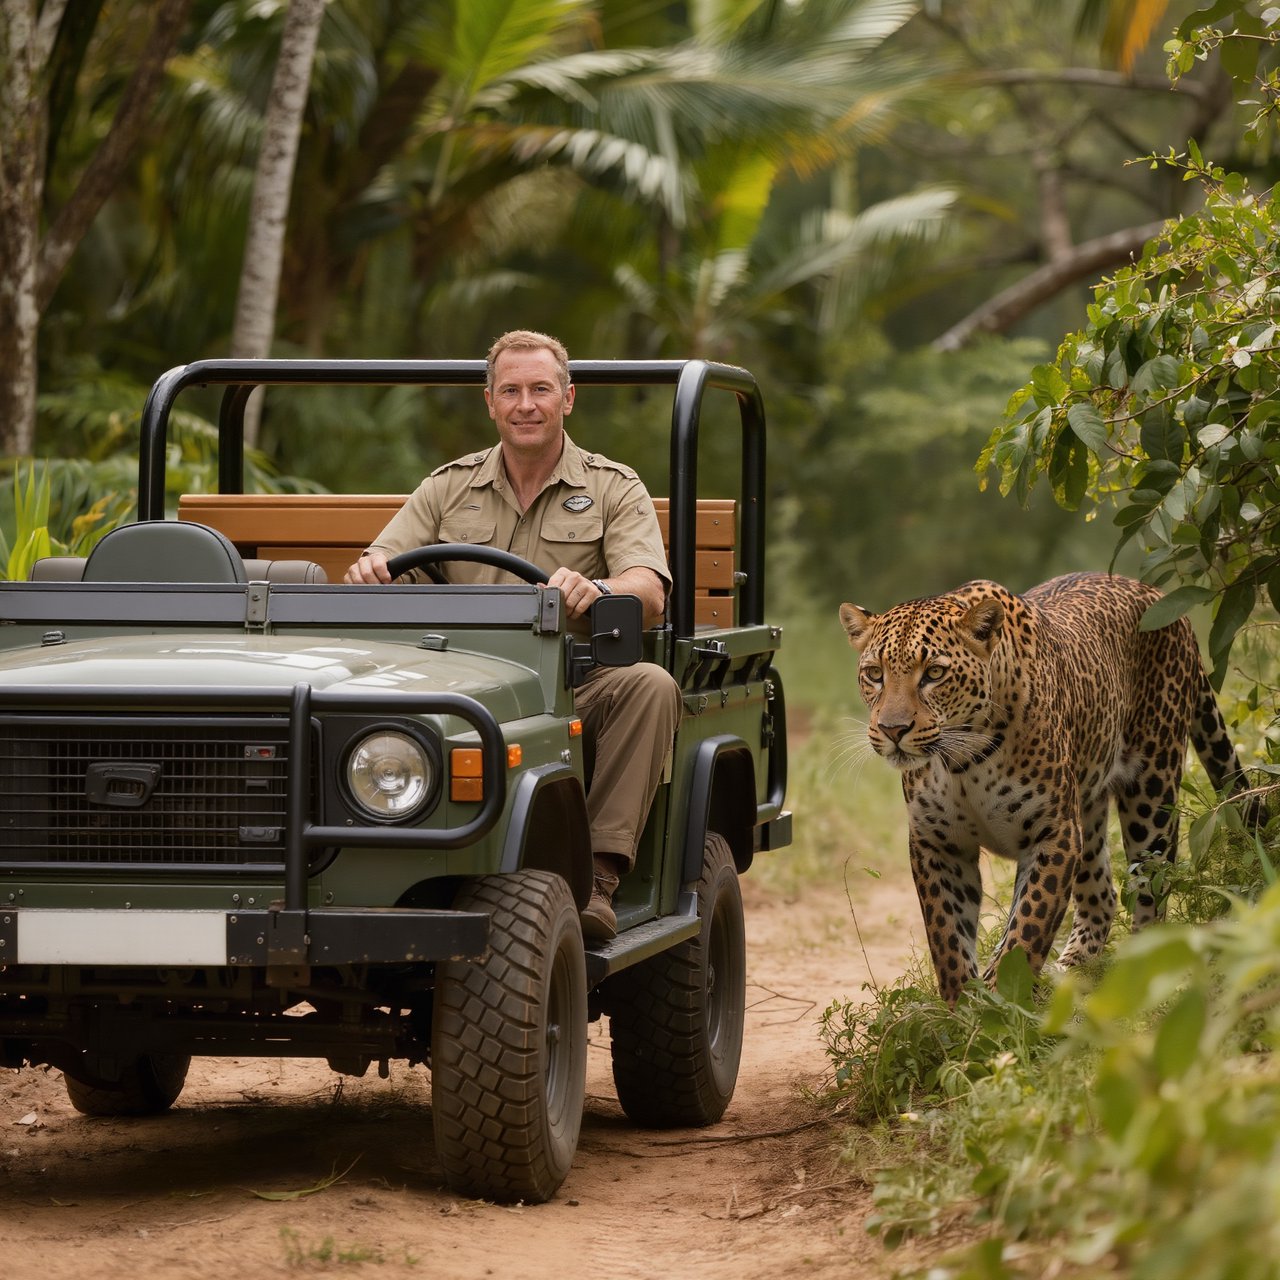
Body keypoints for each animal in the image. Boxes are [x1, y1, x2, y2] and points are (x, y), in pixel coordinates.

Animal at [839, 571, 1254, 1006]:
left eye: (934, 674)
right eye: (875, 674)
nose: (893, 730)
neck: (963, 759)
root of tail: (1155, 591)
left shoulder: (1054, 832)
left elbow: (1027, 927)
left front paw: (999, 1005)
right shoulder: (937, 843)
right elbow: (947, 938)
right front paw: (961, 1009)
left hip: (1152, 792)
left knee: (1151, 890)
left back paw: (1141, 973)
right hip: (1088, 811)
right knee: (1101, 894)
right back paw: (1068, 972)